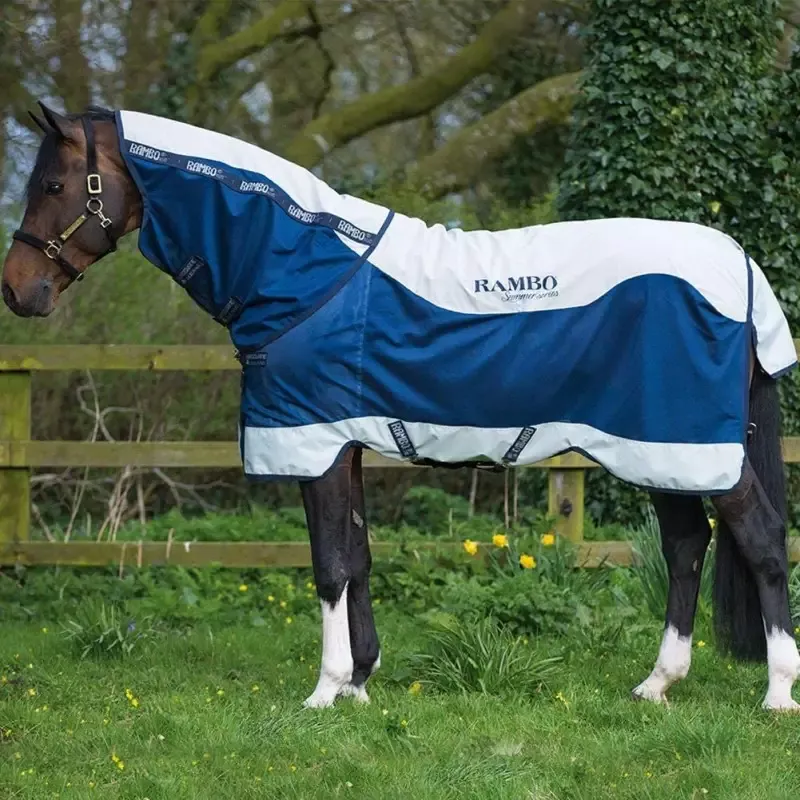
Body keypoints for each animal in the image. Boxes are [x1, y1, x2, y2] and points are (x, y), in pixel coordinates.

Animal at [3, 102, 799, 712]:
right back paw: (657, 684)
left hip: (690, 447)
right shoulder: (344, 445)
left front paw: (324, 692)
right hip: (663, 449)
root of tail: (738, 263)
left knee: (759, 537)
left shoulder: (314, 444)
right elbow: (357, 557)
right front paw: (360, 683)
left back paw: (776, 694)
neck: (306, 273)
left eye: (53, 182)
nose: (17, 290)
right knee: (686, 545)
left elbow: (328, 565)